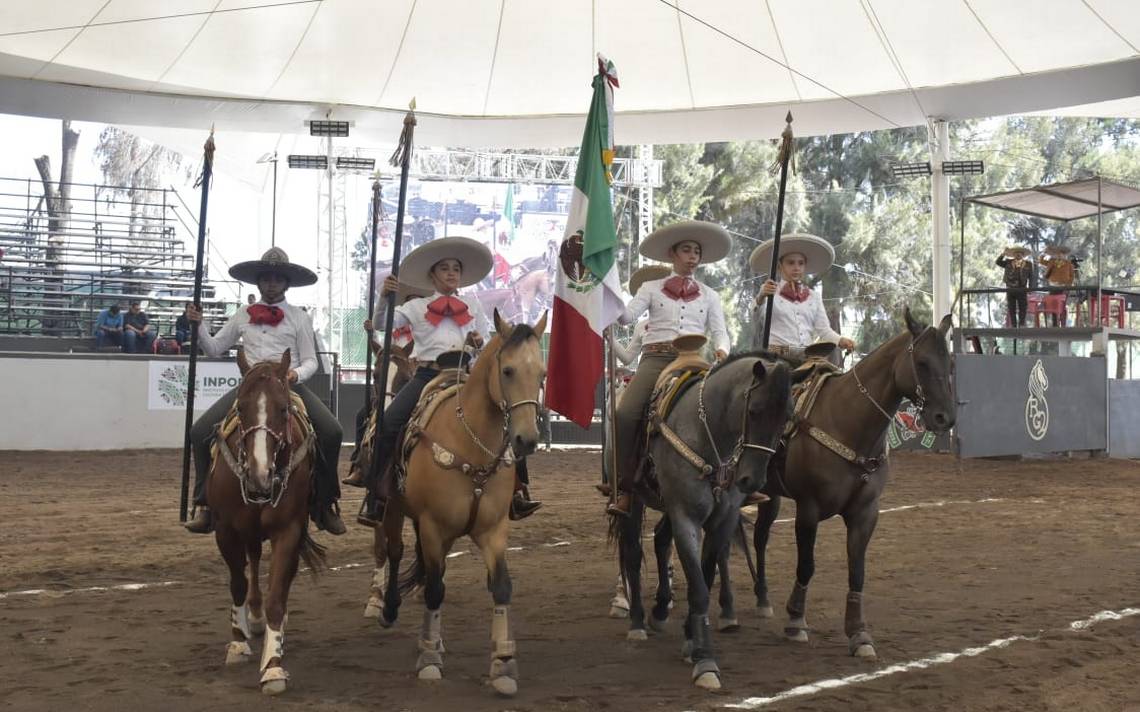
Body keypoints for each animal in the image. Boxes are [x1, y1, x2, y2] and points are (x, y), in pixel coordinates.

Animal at [206, 350, 326, 692]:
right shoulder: (226, 530)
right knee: (254, 560)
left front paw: (273, 666)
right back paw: (254, 620)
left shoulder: (289, 530)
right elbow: (238, 583)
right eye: (240, 407)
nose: (259, 477)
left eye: (283, 409)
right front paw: (237, 643)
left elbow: (277, 595)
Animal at [373, 309, 547, 692]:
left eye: (542, 374)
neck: (471, 444)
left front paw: (502, 664)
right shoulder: (433, 527)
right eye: (507, 370)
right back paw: (390, 609)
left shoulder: (493, 529)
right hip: (394, 508)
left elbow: (500, 587)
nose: (527, 439)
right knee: (395, 552)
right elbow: (434, 590)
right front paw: (429, 659)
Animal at [615, 350, 793, 688]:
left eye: (787, 419)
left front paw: (690, 638)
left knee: (660, 540)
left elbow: (706, 577)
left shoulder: (721, 520)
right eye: (754, 411)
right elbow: (698, 587)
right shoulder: (686, 518)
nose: (752, 480)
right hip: (632, 502)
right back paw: (637, 623)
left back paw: (660, 609)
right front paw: (704, 659)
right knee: (632, 553)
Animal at [752, 307, 957, 656]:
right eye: (922, 363)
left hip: (770, 495)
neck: (848, 421)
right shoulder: (808, 509)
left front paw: (859, 634)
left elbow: (857, 571)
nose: (945, 418)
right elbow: (806, 564)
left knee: (759, 537)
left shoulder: (865, 512)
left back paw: (763, 599)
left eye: (951, 363)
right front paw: (796, 620)